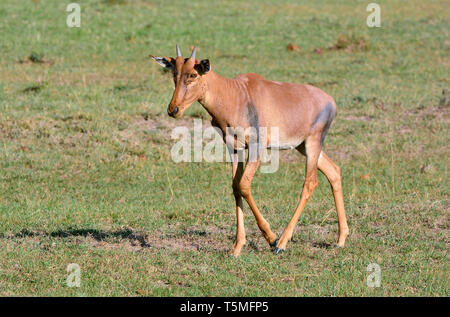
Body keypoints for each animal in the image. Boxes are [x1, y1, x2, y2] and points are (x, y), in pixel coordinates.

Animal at [150, 44, 348, 256]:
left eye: (193, 74)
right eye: (174, 73)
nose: (173, 110)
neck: (236, 94)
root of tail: (330, 101)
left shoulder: (257, 146)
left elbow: (244, 185)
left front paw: (271, 238)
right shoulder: (234, 148)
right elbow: (236, 187)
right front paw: (236, 247)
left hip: (313, 143)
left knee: (310, 183)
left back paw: (282, 243)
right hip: (302, 146)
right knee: (333, 171)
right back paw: (340, 239)